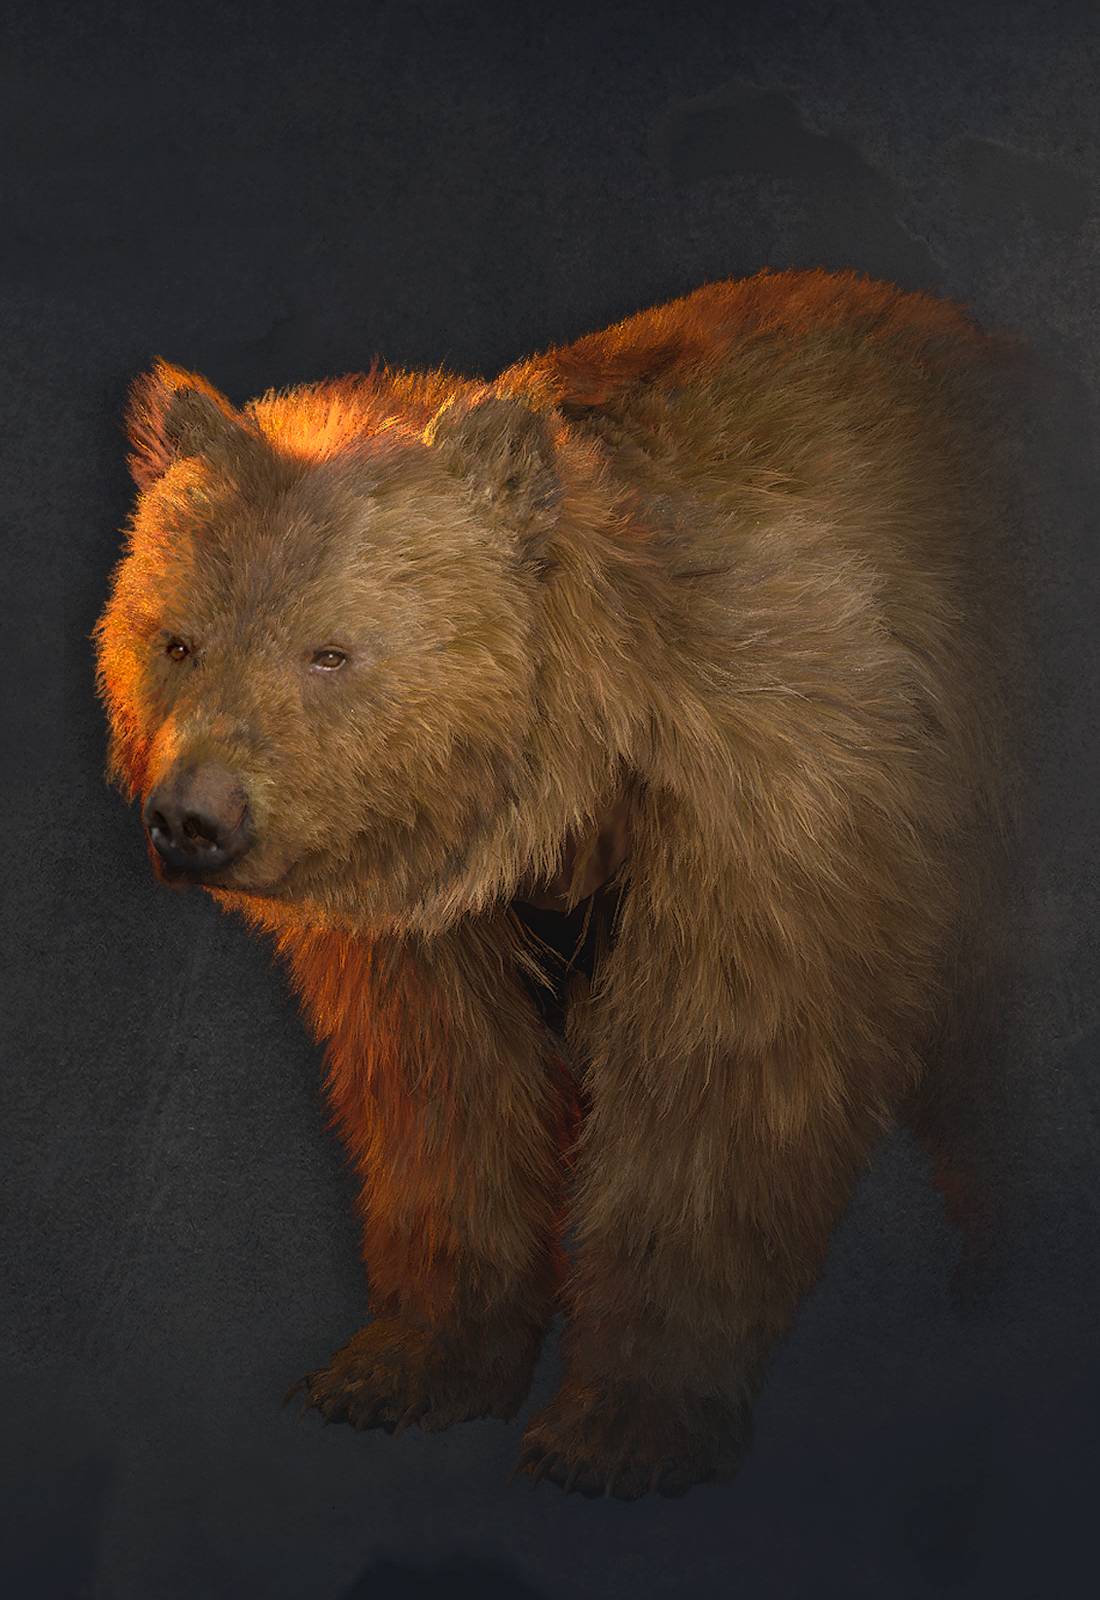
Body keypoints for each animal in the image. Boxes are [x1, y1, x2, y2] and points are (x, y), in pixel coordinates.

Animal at [93, 267, 1030, 1500]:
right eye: (178, 639)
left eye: (331, 651)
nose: (194, 817)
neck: (566, 794)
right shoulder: (431, 932)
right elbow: (446, 1099)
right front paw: (401, 1366)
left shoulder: (777, 819)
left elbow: (714, 1102)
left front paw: (618, 1426)